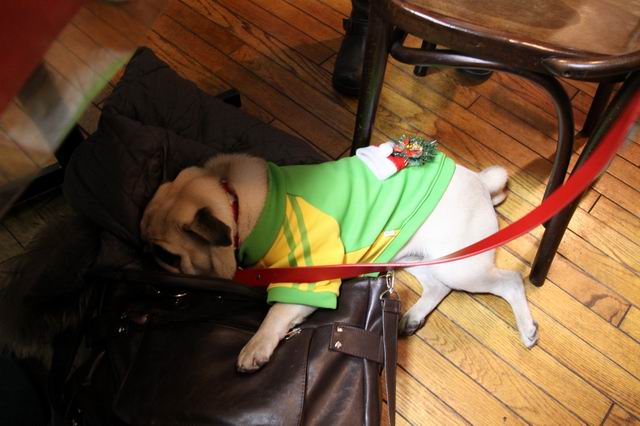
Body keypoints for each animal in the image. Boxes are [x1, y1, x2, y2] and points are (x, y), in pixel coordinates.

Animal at [141, 151, 538, 372]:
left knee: (509, 281)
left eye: (167, 256)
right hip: (415, 257)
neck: (235, 200)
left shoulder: (310, 280)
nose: (144, 259)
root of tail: (481, 182)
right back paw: (411, 317)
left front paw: (256, 345)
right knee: (439, 287)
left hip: (460, 264)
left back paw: (526, 328)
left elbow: (276, 313)